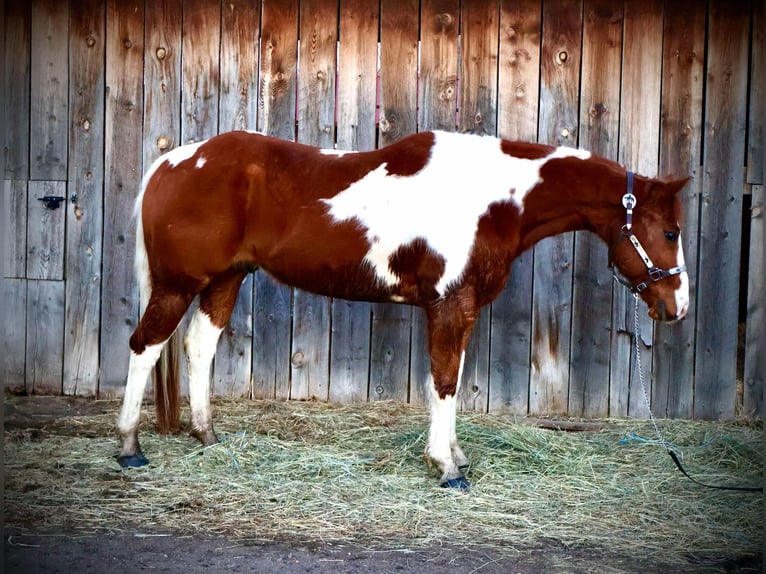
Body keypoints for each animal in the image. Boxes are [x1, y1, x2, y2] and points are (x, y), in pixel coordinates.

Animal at [117, 130, 692, 490]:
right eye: (670, 232)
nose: (678, 306)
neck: (489, 197)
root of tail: (171, 163)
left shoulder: (460, 308)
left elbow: (449, 380)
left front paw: (455, 455)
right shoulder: (449, 304)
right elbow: (444, 382)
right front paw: (447, 469)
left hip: (225, 280)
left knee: (198, 347)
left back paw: (207, 436)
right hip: (177, 284)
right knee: (145, 348)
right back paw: (129, 446)